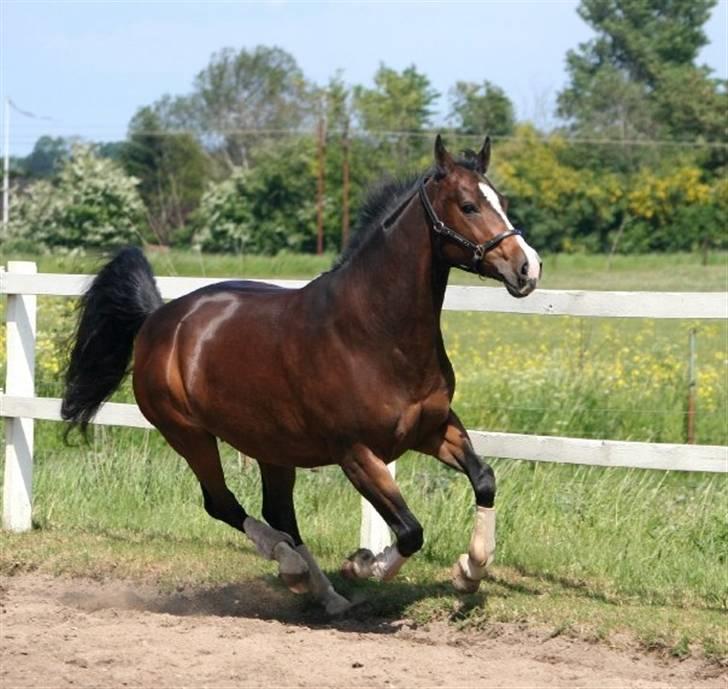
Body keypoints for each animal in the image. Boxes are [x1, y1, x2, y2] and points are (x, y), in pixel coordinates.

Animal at [62, 136, 540, 612]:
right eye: (468, 205)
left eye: (502, 201)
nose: (527, 267)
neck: (375, 333)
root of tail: (157, 318)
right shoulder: (357, 453)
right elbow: (409, 531)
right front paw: (363, 565)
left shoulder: (433, 428)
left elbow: (484, 479)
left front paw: (469, 572)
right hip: (189, 435)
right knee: (223, 504)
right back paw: (294, 569)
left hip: (271, 447)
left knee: (278, 514)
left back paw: (325, 594)